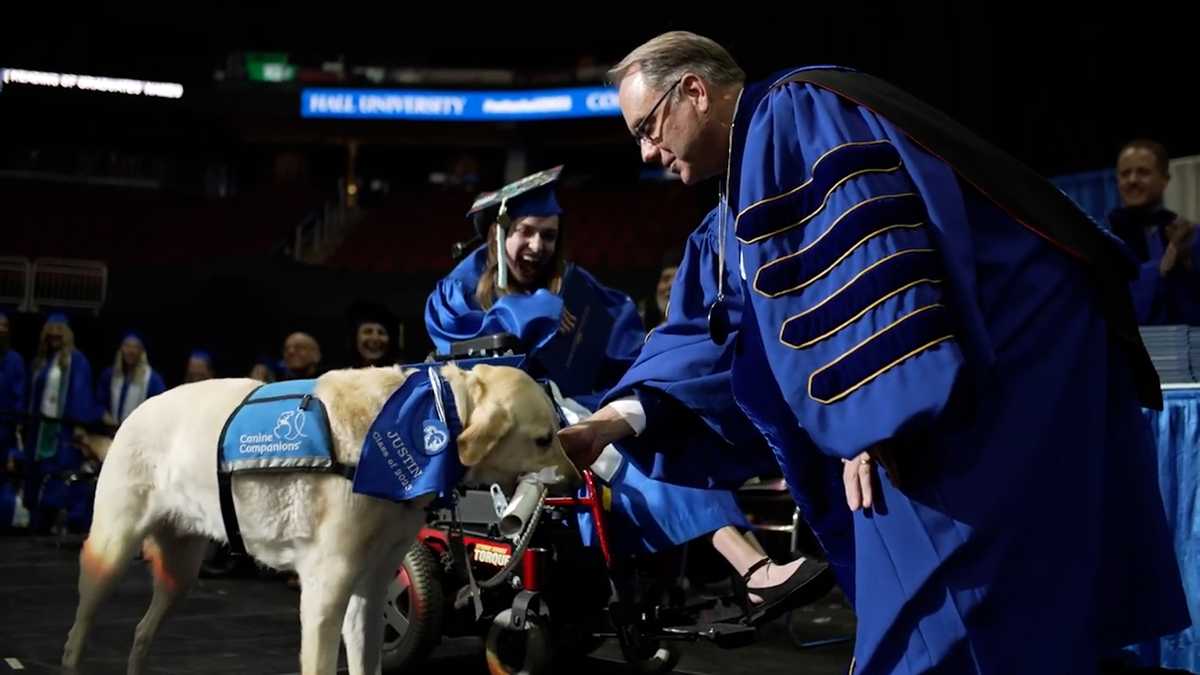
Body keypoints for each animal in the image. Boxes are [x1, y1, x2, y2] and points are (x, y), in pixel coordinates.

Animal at [63, 362, 578, 672]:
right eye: (542, 439)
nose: (578, 480)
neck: (431, 415)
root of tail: (135, 411)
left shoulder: (370, 591)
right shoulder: (325, 590)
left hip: (180, 573)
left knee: (141, 631)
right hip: (110, 554)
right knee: (77, 632)